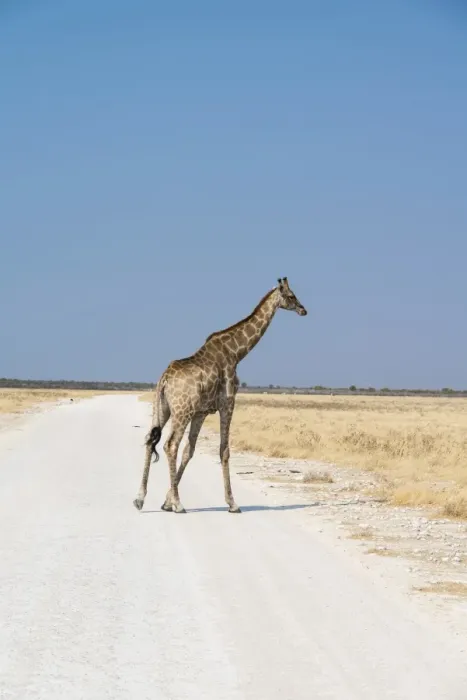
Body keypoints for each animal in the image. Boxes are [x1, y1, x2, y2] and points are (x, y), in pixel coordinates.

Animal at [133, 277, 307, 514]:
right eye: (291, 296)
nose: (303, 310)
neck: (237, 353)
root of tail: (164, 380)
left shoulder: (201, 413)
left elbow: (190, 451)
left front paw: (166, 501)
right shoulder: (228, 403)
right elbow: (224, 450)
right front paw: (232, 503)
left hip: (162, 408)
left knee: (150, 442)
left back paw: (140, 499)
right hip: (182, 411)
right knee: (170, 445)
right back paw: (179, 504)